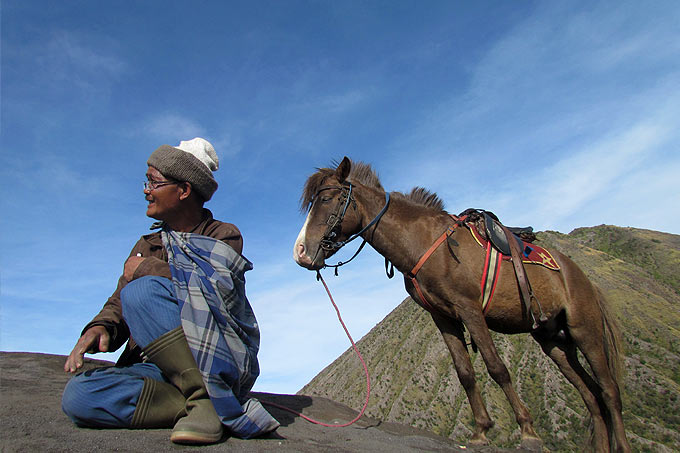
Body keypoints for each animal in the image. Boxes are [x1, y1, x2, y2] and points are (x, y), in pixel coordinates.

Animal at [293, 157, 631, 453]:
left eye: (327, 200)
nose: (300, 251)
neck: (426, 243)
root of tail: (579, 275)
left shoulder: (471, 311)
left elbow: (497, 368)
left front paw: (528, 431)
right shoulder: (444, 318)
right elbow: (465, 372)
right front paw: (481, 430)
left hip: (585, 332)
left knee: (609, 391)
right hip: (554, 341)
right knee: (591, 396)